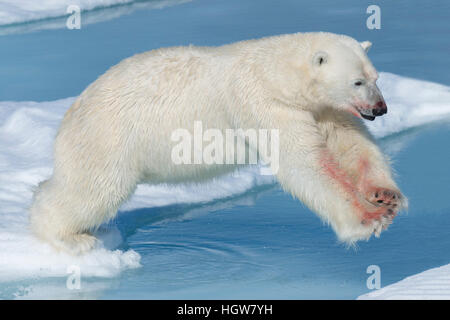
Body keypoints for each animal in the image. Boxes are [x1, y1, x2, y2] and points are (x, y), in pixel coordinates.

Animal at [29, 31, 408, 252]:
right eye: (358, 81)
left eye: (376, 77)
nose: (381, 108)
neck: (275, 71)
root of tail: (72, 110)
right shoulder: (261, 102)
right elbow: (302, 162)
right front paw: (368, 218)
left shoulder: (321, 107)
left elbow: (350, 144)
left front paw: (384, 196)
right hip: (107, 136)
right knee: (94, 188)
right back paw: (70, 237)